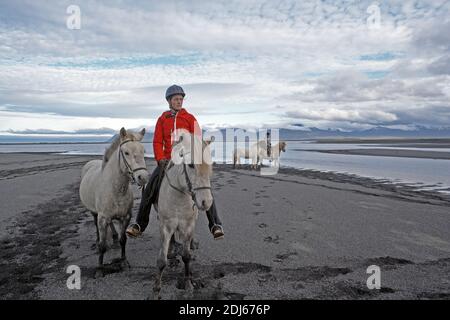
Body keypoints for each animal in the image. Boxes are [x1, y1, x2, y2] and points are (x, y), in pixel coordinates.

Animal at [153, 129, 214, 298]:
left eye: (210, 165)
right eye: (191, 164)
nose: (206, 202)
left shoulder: (188, 226)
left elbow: (186, 256)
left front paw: (188, 284)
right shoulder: (165, 226)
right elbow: (161, 260)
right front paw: (156, 289)